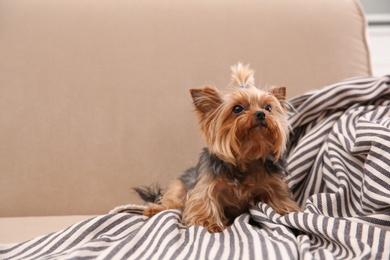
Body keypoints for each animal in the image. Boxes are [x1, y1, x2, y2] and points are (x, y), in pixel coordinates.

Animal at [136, 64, 300, 233]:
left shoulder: (273, 184)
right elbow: (203, 201)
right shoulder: (206, 185)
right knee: (172, 201)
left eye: (268, 107)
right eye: (237, 109)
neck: (246, 157)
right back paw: (155, 209)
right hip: (179, 186)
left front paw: (289, 213)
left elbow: (280, 200)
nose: (261, 114)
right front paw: (209, 223)